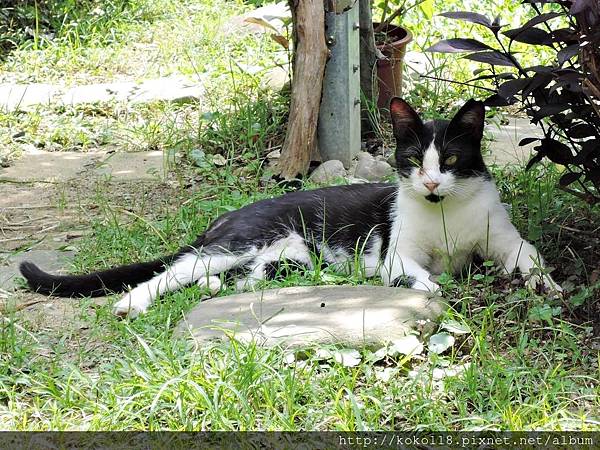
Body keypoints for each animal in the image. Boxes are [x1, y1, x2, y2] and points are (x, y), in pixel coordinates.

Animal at [18, 96, 564, 318]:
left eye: (449, 159)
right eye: (412, 160)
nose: (429, 182)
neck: (445, 212)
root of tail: (225, 217)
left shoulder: (503, 236)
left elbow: (530, 256)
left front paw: (549, 286)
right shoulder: (396, 252)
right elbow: (419, 275)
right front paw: (433, 286)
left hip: (284, 259)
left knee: (232, 278)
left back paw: (214, 288)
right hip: (243, 241)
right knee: (173, 270)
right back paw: (133, 302)